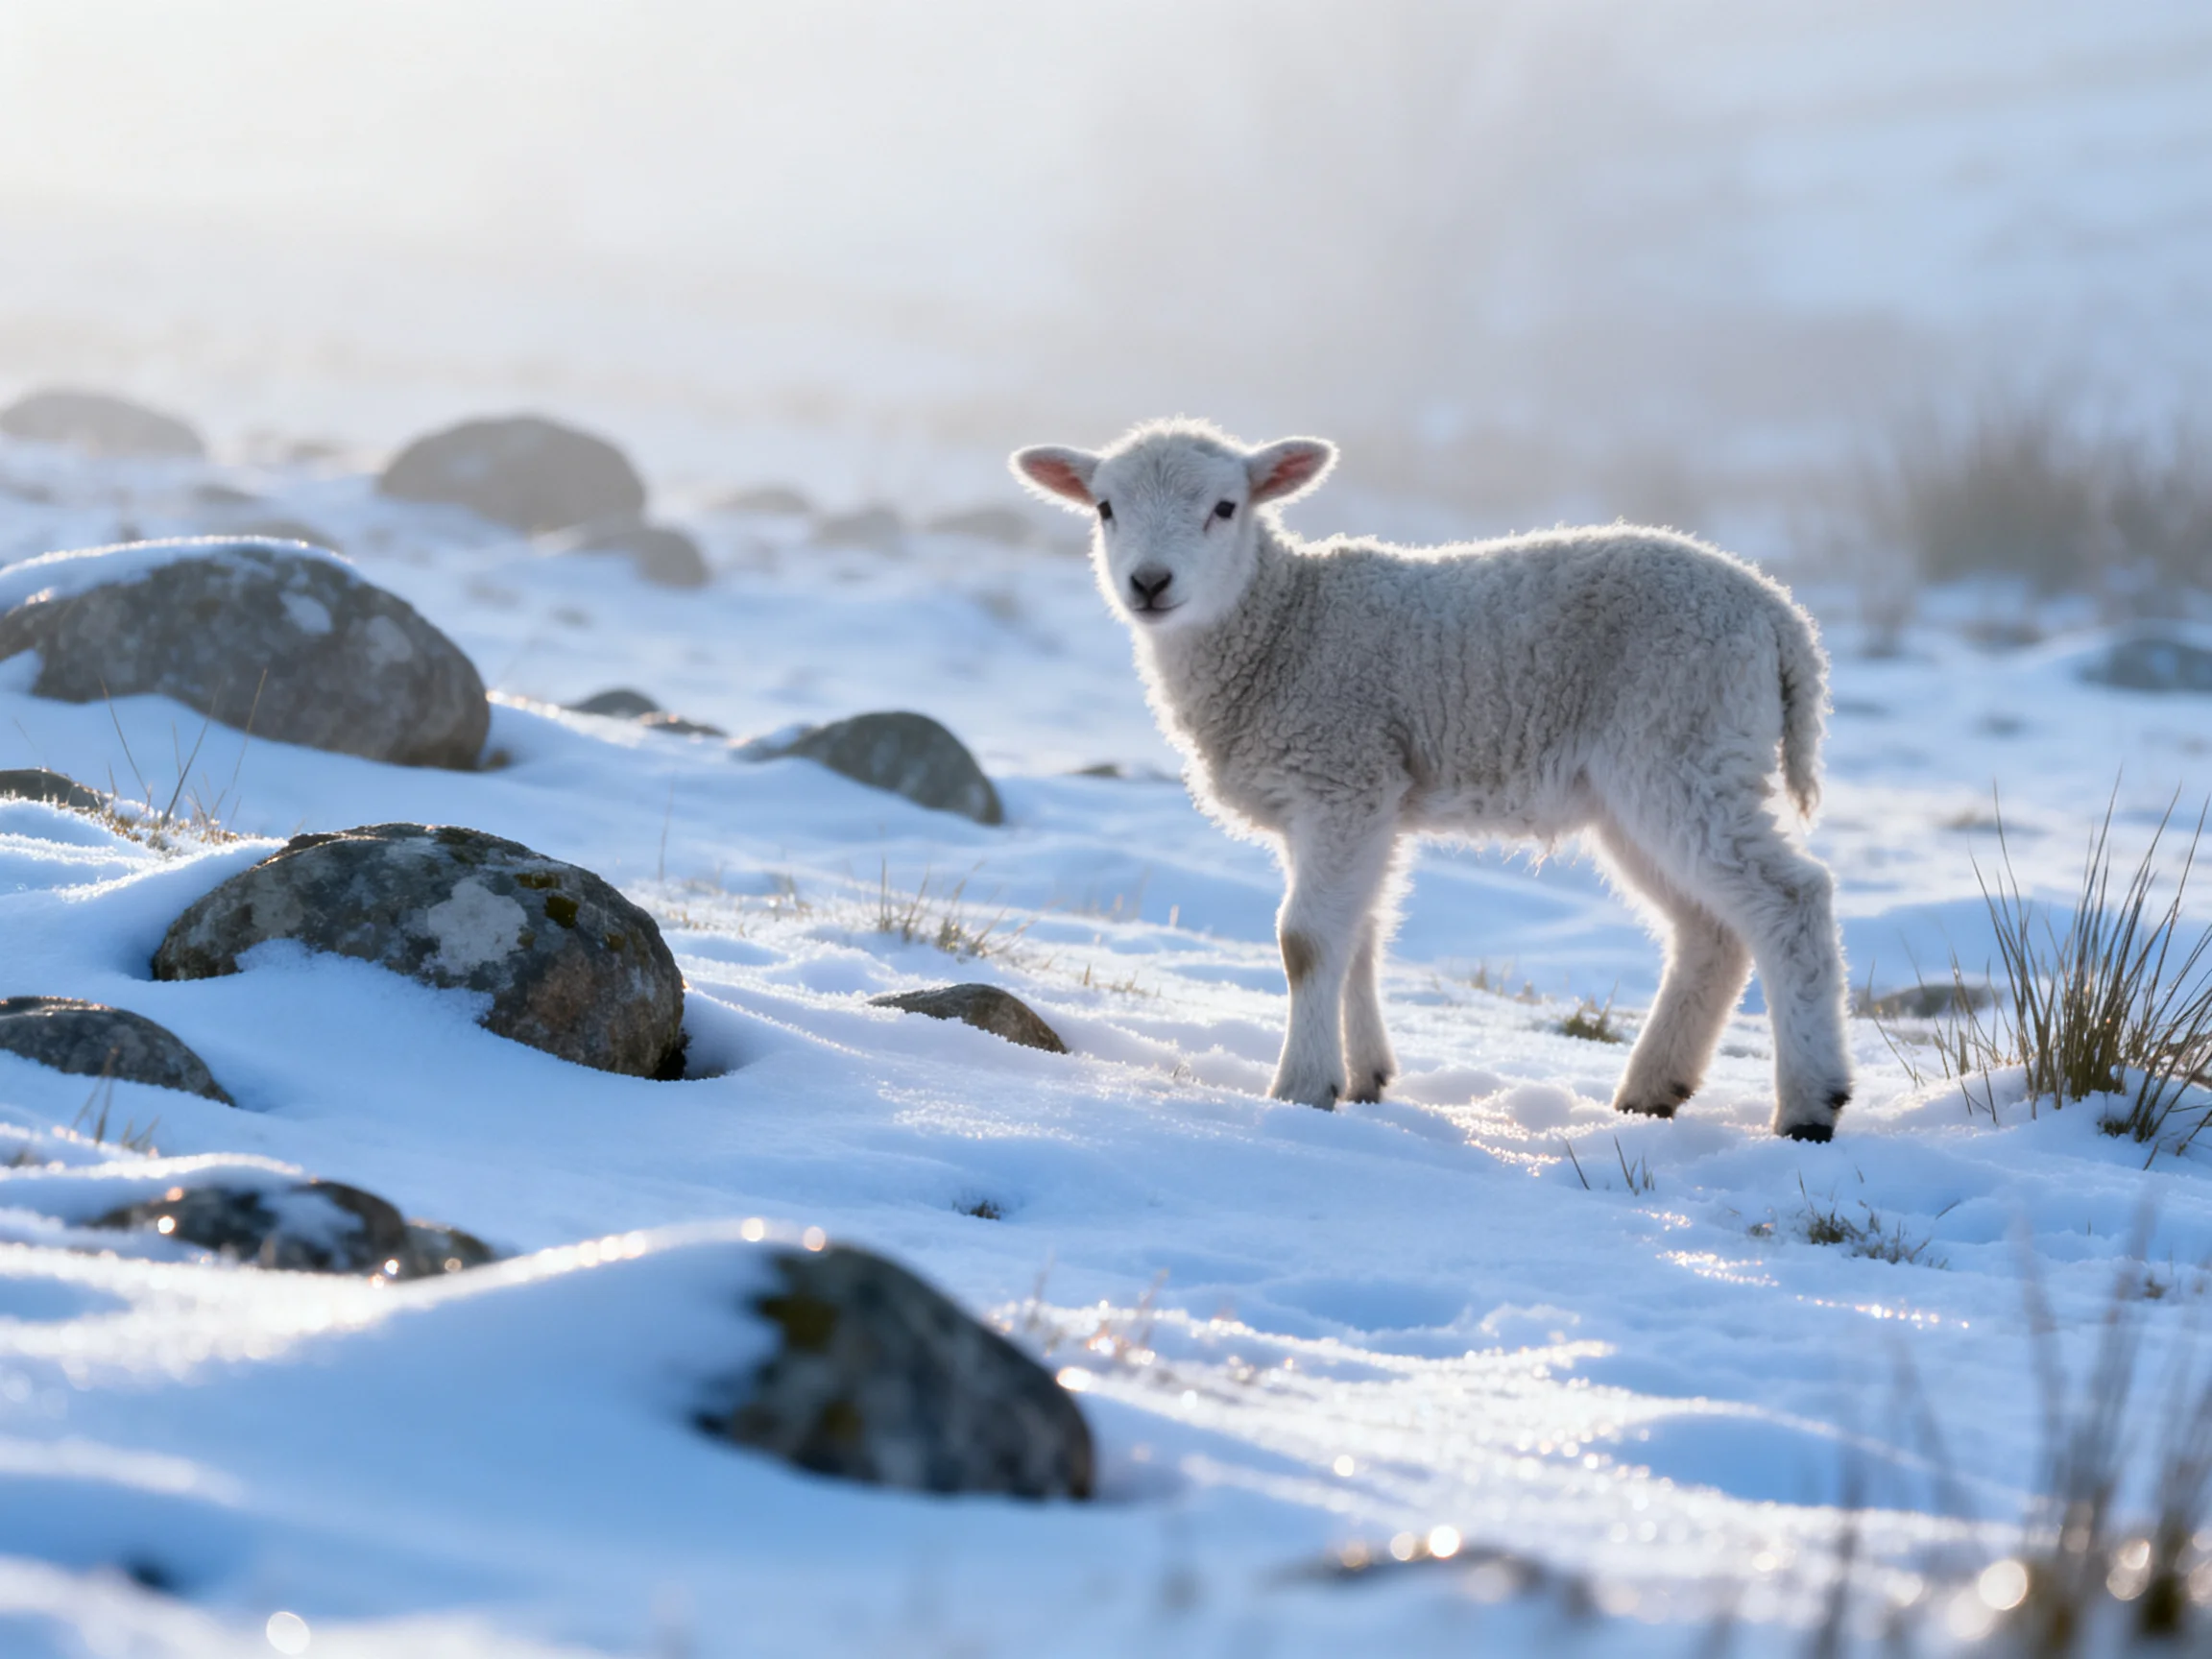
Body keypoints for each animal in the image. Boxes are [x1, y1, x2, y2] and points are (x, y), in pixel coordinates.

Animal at [1012, 419, 1852, 1141]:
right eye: (1106, 509)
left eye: (1225, 507)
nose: (1149, 582)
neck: (1282, 623)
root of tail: (1780, 617)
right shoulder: (1356, 797)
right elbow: (1358, 934)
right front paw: (1363, 1079)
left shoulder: (1342, 775)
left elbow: (1305, 941)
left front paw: (1299, 1090)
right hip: (1641, 787)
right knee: (1711, 932)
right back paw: (1654, 1090)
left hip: (1682, 743)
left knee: (1789, 900)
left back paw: (1809, 1106)